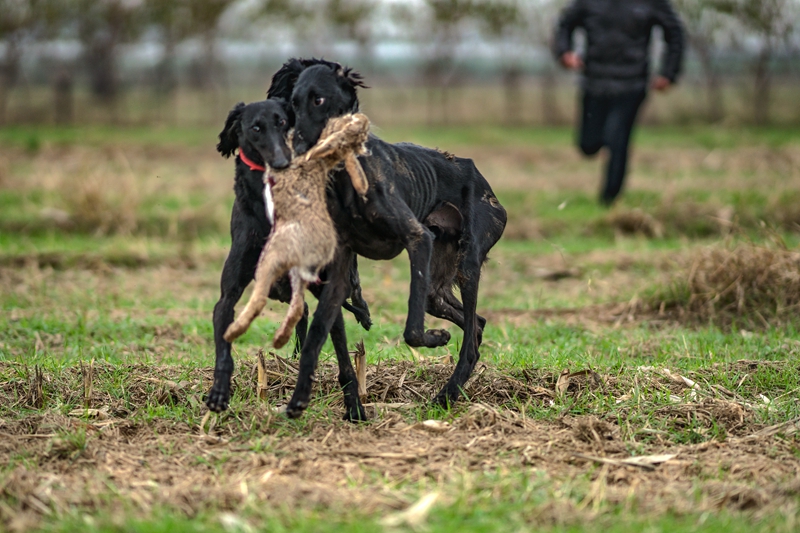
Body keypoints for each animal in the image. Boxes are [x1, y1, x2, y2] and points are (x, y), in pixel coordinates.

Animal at [205, 98, 370, 412]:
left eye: (282, 121)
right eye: (256, 128)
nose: (283, 162)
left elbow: (342, 358)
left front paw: (354, 405)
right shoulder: (227, 296)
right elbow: (224, 342)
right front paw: (219, 391)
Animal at [268, 59, 506, 420]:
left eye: (319, 99)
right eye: (293, 103)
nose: (296, 150)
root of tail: (477, 174)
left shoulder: (418, 239)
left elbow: (412, 330)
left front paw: (436, 338)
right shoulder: (338, 273)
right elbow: (318, 339)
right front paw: (332, 405)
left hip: (467, 262)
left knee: (469, 340)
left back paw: (447, 394)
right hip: (437, 289)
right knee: (475, 324)